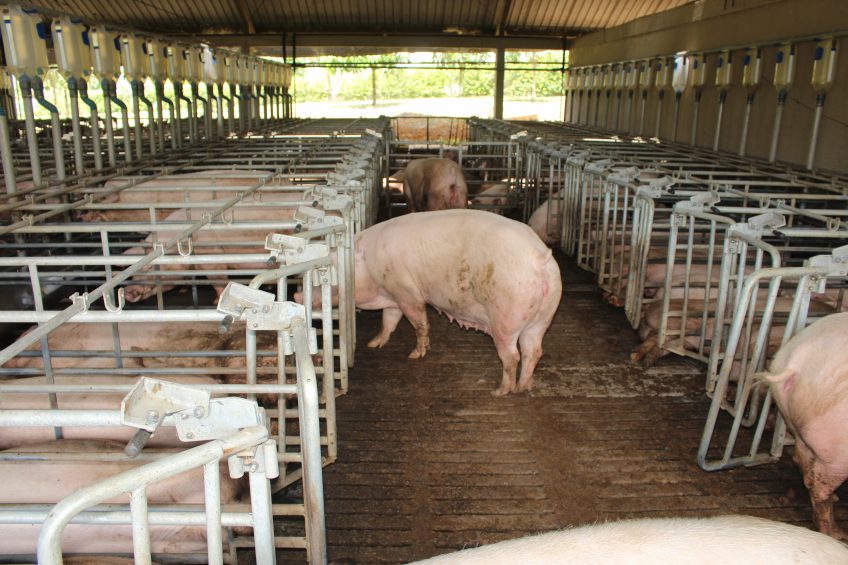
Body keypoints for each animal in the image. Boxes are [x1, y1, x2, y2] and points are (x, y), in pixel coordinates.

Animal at [352, 208, 560, 396]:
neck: (368, 263)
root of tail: (539, 260)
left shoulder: (405, 291)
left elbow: (419, 323)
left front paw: (414, 355)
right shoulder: (393, 296)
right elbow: (388, 321)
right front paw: (373, 344)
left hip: (506, 318)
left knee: (512, 356)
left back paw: (500, 391)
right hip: (542, 318)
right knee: (533, 352)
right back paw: (523, 387)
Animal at [760, 310, 848, 540]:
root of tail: (798, 358)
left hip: (800, 426)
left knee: (803, 462)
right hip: (836, 448)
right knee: (819, 485)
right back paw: (836, 533)